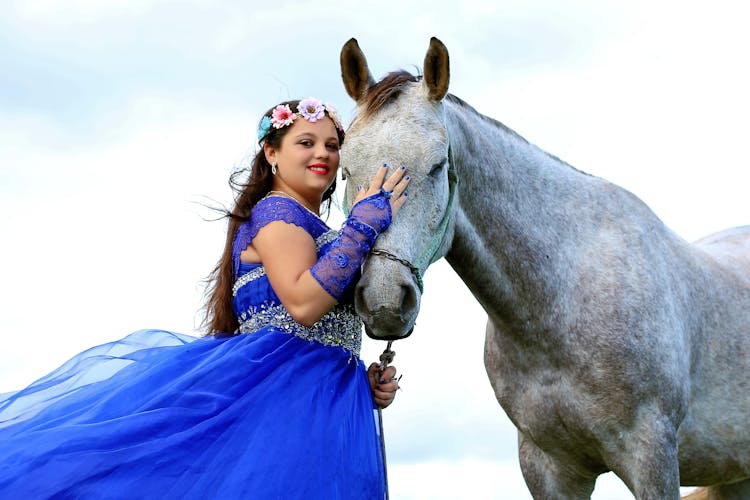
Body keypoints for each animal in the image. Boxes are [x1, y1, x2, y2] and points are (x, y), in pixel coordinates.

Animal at [340, 37, 750, 498]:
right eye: (345, 168)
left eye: (438, 166)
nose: (385, 302)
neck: (561, 301)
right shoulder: (547, 466)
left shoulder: (652, 457)